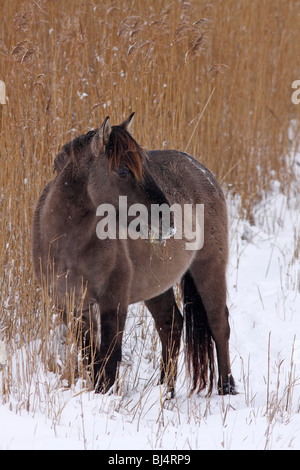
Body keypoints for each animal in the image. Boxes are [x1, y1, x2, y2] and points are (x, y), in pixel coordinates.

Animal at [31, 114, 237, 396]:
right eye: (122, 171)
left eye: (146, 167)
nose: (168, 220)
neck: (68, 245)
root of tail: (203, 172)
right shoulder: (73, 305)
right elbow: (90, 356)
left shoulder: (113, 303)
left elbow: (108, 359)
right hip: (156, 284)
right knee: (171, 326)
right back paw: (165, 392)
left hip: (210, 268)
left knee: (219, 325)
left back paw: (226, 387)